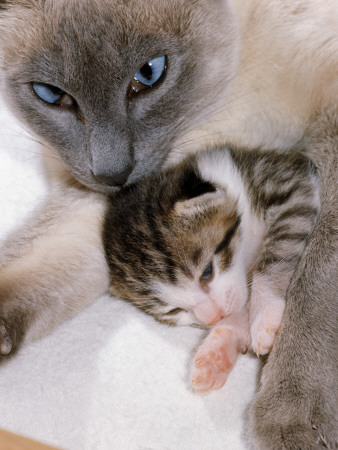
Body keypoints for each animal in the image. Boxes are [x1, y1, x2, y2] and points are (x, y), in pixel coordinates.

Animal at [103, 146, 320, 392]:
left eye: (207, 272)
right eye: (173, 311)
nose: (214, 317)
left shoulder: (291, 186)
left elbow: (277, 251)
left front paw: (264, 312)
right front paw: (219, 349)